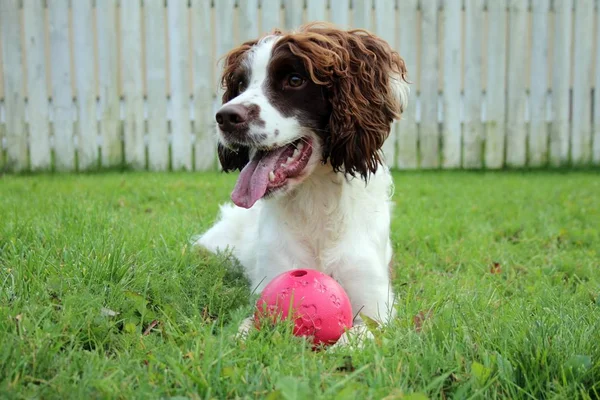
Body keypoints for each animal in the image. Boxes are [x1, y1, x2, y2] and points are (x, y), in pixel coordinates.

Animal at [195, 22, 410, 346]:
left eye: (295, 80)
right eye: (241, 84)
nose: (225, 117)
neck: (316, 201)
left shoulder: (377, 305)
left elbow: (359, 334)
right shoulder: (268, 282)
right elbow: (247, 327)